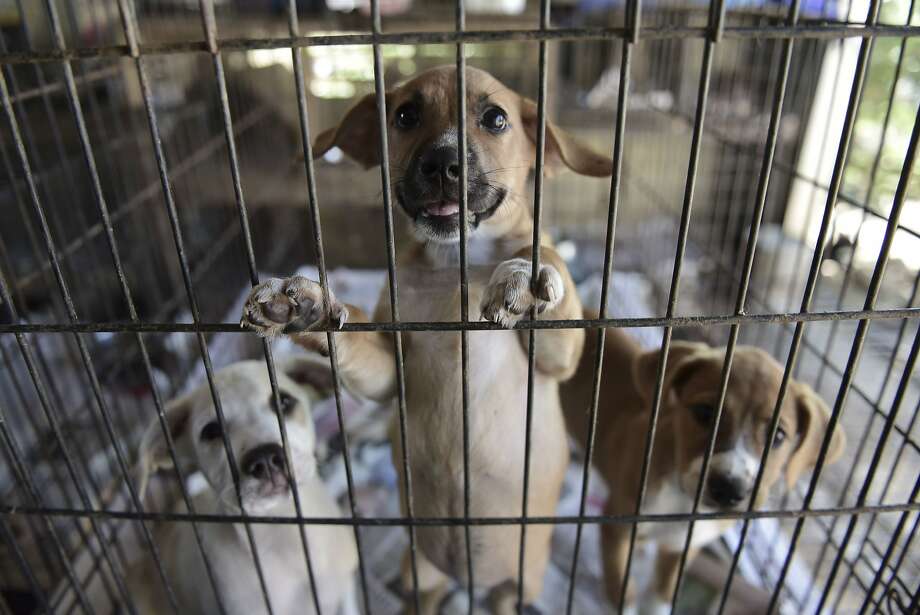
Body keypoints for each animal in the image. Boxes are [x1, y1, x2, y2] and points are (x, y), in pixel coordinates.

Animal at [239, 65, 612, 612]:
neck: (455, 262)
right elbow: (353, 341)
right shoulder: (387, 370)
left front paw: (524, 272)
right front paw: (308, 304)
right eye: (405, 115)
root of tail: (466, 579)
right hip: (419, 569)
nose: (442, 164)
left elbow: (545, 253)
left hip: (524, 577)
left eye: (495, 118)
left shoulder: (560, 360)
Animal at [556, 322, 844, 615]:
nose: (729, 489)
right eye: (705, 412)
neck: (682, 501)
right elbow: (623, 592)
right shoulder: (617, 527)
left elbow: (661, 595)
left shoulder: (684, 545)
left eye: (778, 436)